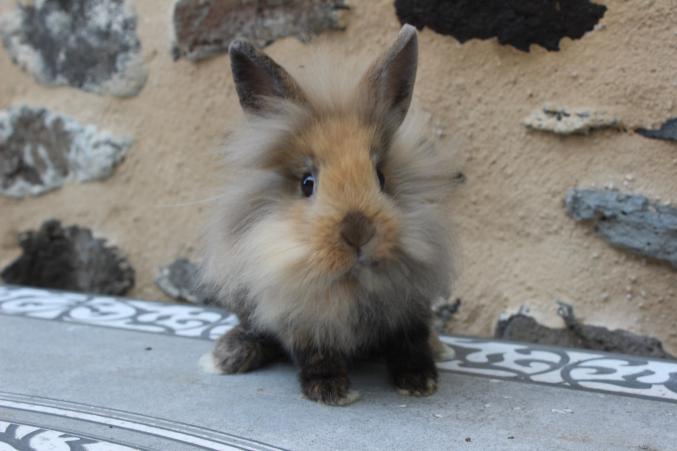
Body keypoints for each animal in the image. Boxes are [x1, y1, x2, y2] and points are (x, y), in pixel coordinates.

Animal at [201, 24, 454, 406]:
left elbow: (410, 344)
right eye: (307, 184)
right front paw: (330, 391)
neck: (352, 282)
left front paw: (419, 382)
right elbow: (317, 354)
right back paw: (227, 355)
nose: (357, 231)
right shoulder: (301, 317)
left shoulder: (410, 308)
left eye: (381, 177)